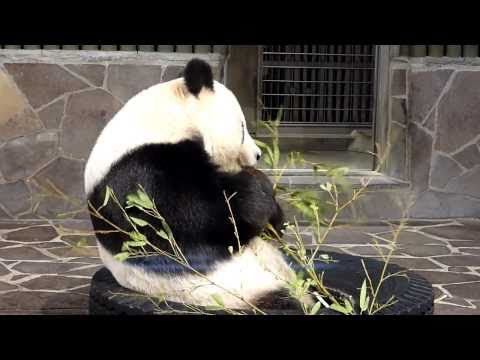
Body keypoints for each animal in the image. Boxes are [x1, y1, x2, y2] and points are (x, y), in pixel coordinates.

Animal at [84, 58, 306, 310]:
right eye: (242, 129)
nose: (257, 155)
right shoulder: (138, 173)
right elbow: (192, 220)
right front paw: (255, 194)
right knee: (285, 303)